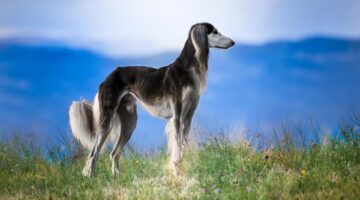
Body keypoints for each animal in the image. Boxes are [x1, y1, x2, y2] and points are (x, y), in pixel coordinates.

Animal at [69, 22, 235, 177]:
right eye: (215, 31)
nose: (233, 42)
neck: (187, 70)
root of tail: (108, 77)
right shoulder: (177, 117)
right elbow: (177, 148)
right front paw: (176, 173)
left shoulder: (188, 118)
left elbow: (183, 146)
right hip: (107, 121)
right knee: (93, 155)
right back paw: (90, 177)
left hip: (130, 122)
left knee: (114, 153)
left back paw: (116, 176)